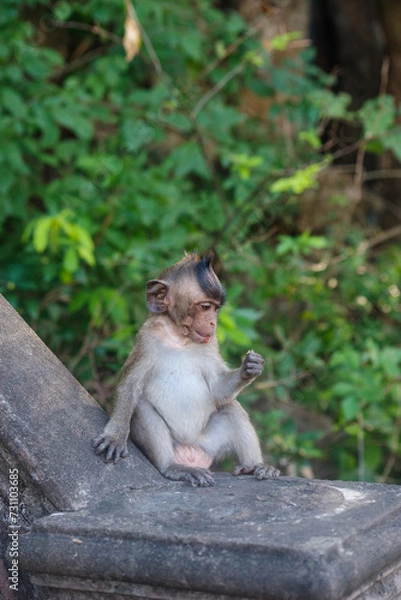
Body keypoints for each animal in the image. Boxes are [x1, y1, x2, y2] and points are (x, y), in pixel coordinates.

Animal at [93, 251, 278, 486]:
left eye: (216, 308)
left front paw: (251, 367)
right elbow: (129, 386)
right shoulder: (146, 340)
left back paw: (255, 466)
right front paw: (115, 437)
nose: (213, 323)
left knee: (231, 408)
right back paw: (173, 467)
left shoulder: (211, 343)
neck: (179, 338)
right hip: (175, 445)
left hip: (208, 442)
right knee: (142, 408)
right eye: (205, 307)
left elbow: (217, 391)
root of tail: (191, 452)